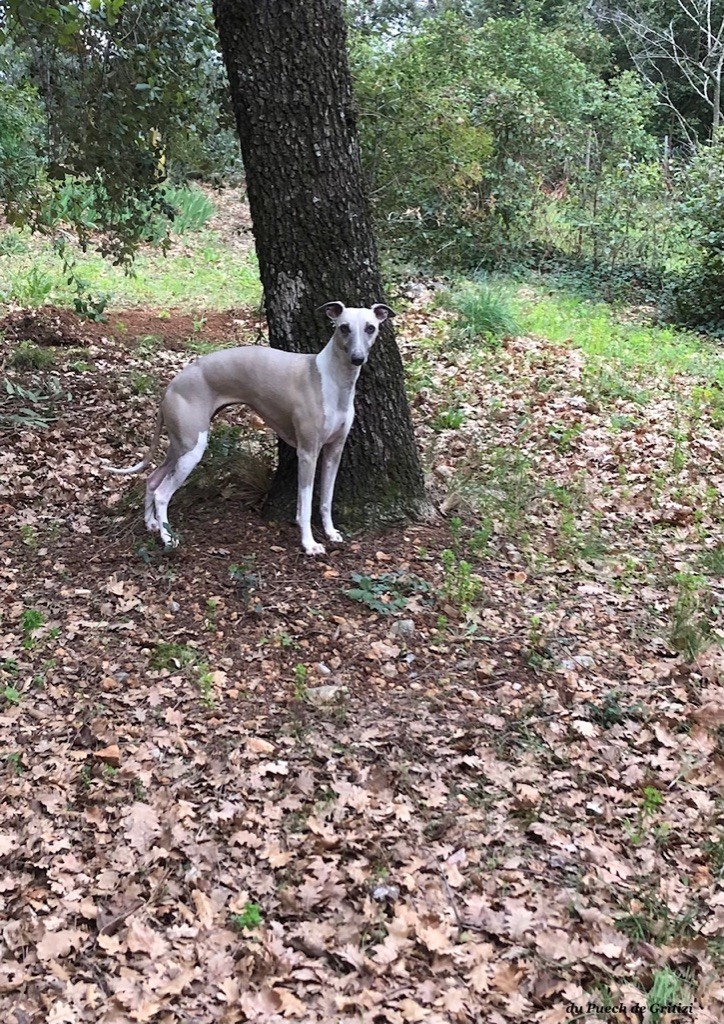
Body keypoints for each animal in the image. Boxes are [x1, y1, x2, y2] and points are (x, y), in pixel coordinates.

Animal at [103, 299, 391, 557]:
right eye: (343, 327)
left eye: (370, 328)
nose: (358, 358)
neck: (332, 380)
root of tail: (171, 386)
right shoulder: (308, 452)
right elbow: (306, 504)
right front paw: (309, 544)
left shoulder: (334, 451)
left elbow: (326, 500)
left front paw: (330, 532)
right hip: (192, 449)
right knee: (163, 493)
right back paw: (168, 538)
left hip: (181, 445)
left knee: (152, 479)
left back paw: (151, 524)